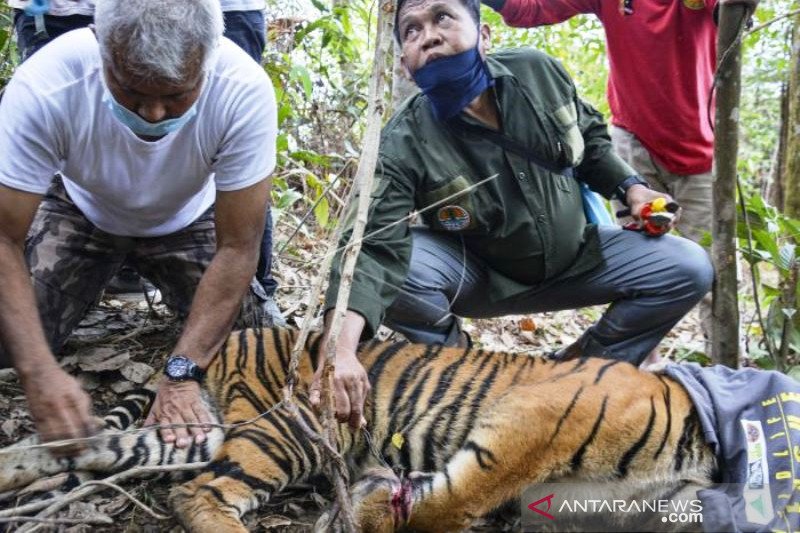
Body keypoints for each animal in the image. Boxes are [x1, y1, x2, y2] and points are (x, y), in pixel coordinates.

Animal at [0, 326, 712, 528]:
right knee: (198, 493)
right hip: (290, 431)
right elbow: (456, 498)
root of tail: (236, 335)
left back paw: (13, 465)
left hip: (213, 432)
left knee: (100, 447)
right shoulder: (529, 422)